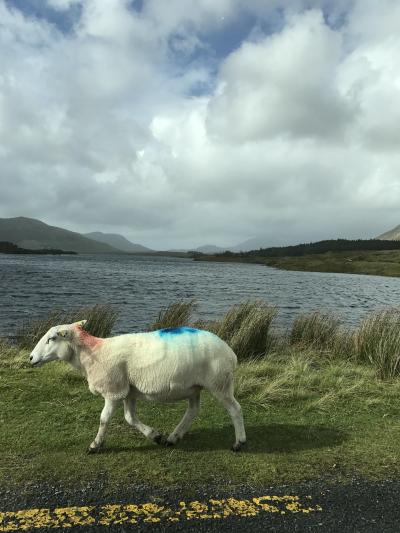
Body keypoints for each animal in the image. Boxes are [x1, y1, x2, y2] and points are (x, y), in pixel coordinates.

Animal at [28, 320, 247, 454]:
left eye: (52, 338)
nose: (30, 358)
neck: (93, 353)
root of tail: (230, 352)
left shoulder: (113, 390)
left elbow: (104, 419)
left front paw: (95, 446)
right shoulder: (128, 391)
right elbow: (130, 418)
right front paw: (155, 436)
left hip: (220, 383)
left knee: (235, 409)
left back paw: (239, 443)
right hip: (194, 386)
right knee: (193, 410)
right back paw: (173, 438)